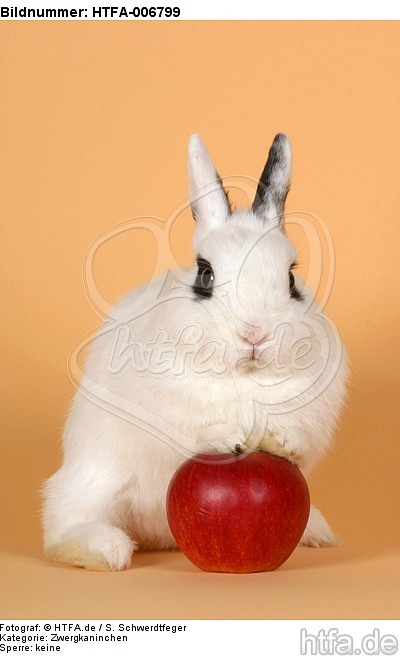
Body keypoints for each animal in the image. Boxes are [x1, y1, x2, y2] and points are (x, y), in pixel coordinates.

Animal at [42, 133, 348, 571]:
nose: (254, 334)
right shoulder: (168, 417)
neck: (244, 377)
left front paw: (277, 440)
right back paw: (105, 550)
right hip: (94, 478)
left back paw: (317, 532)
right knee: (62, 524)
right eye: (205, 276)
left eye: (291, 280)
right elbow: (196, 434)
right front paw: (233, 437)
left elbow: (298, 445)